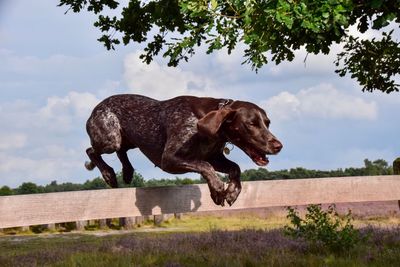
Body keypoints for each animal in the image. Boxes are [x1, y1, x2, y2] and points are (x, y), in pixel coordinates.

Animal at [86, 94, 282, 207]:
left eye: (268, 123)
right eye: (251, 124)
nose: (278, 146)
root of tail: (96, 108)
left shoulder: (215, 158)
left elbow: (235, 168)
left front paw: (232, 191)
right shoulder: (169, 159)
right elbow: (204, 166)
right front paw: (218, 188)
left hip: (127, 141)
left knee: (121, 151)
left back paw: (127, 172)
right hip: (110, 140)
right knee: (91, 150)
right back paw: (109, 174)